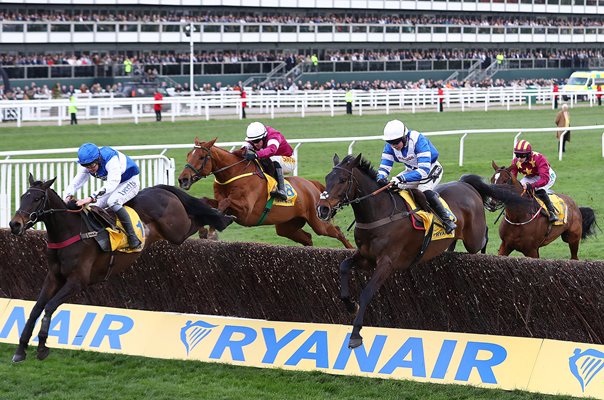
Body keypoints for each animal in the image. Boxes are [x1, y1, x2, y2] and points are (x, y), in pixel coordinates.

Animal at [7, 174, 234, 362]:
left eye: (37, 199)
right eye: (23, 196)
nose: (14, 224)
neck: (70, 232)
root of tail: (160, 189)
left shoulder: (77, 281)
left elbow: (49, 306)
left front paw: (42, 347)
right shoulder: (53, 277)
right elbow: (36, 308)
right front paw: (21, 349)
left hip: (177, 231)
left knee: (197, 216)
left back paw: (220, 219)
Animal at [175, 139, 354, 248]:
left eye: (201, 157)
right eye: (188, 155)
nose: (183, 179)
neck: (234, 173)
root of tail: (311, 185)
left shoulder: (245, 210)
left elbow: (225, 204)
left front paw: (212, 230)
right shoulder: (219, 199)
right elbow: (205, 201)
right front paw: (203, 230)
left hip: (319, 223)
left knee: (338, 232)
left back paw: (350, 250)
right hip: (286, 226)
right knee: (308, 238)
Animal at [316, 155, 524, 348]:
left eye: (343, 179)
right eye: (327, 178)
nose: (322, 209)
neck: (380, 214)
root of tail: (465, 184)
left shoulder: (387, 262)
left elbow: (367, 292)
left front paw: (355, 334)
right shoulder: (366, 257)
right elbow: (343, 266)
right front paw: (350, 305)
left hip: (473, 237)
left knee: (484, 237)